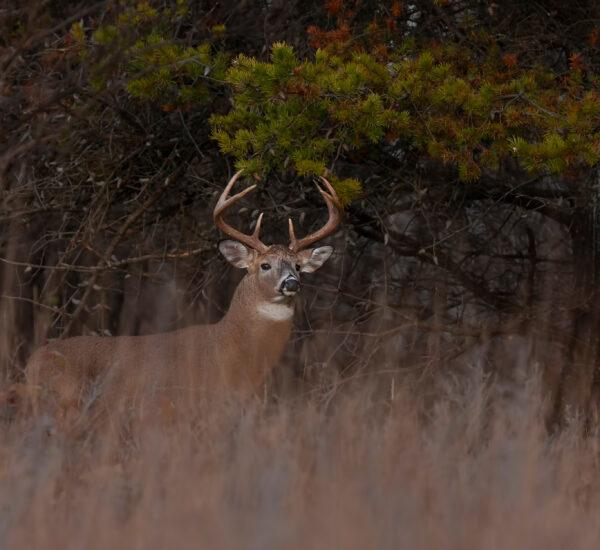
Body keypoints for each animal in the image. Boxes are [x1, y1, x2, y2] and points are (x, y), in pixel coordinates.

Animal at [24, 172, 342, 422]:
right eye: (265, 265)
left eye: (298, 266)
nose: (291, 282)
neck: (230, 349)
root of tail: (30, 366)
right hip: (60, 406)